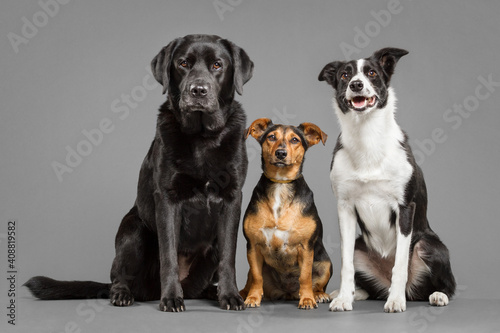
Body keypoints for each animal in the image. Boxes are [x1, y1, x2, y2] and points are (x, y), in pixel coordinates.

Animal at [24, 34, 252, 312]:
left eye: (217, 65)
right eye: (183, 63)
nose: (198, 90)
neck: (202, 138)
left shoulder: (232, 199)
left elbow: (229, 256)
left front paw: (230, 296)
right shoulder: (167, 199)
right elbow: (169, 255)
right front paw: (171, 298)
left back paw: (210, 291)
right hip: (133, 229)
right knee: (119, 277)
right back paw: (124, 294)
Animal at [241, 117, 332, 308]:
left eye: (295, 140)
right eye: (271, 137)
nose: (281, 153)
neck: (281, 184)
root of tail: (288, 293)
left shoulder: (306, 248)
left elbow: (305, 276)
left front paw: (307, 299)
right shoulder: (253, 246)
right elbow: (257, 278)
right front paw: (253, 298)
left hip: (325, 263)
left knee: (317, 282)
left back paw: (319, 295)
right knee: (251, 280)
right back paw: (243, 294)